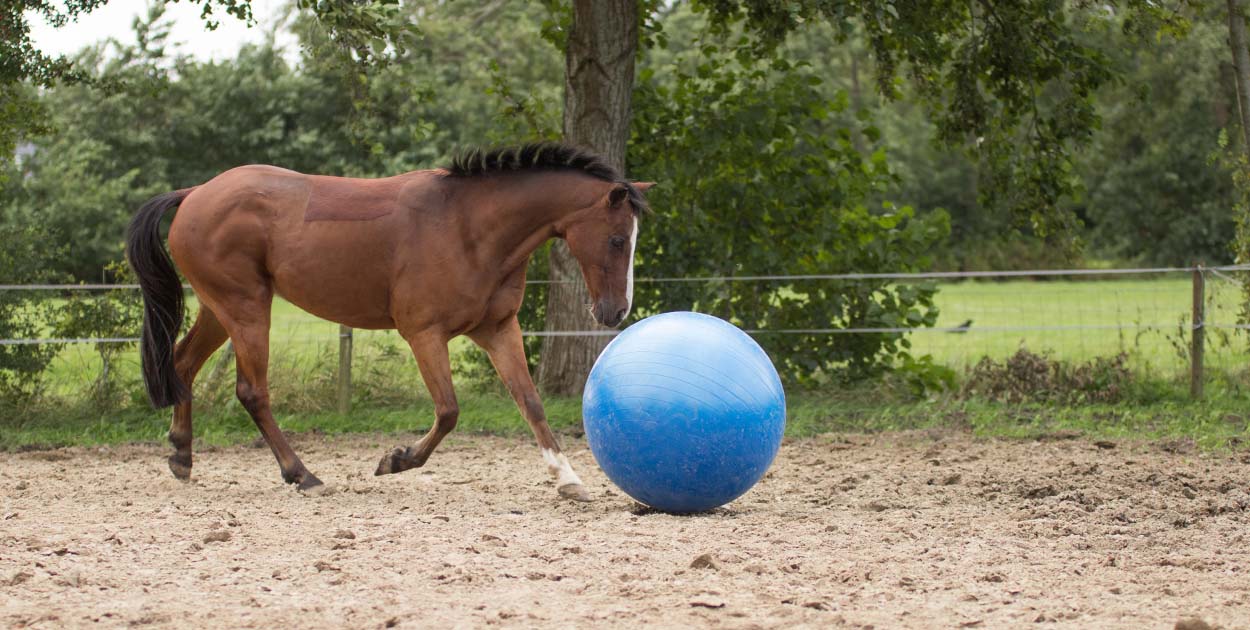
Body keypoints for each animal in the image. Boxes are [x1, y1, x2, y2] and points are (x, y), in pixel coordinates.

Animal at [126, 142, 652, 501]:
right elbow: (448, 411)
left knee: (183, 364)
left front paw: (568, 479)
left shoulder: (499, 330)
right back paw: (303, 475)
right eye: (616, 240)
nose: (615, 312)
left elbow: (531, 403)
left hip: (220, 309)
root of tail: (195, 194)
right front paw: (395, 461)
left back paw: (181, 456)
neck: (469, 228)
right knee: (252, 392)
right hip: (247, 309)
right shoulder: (424, 334)